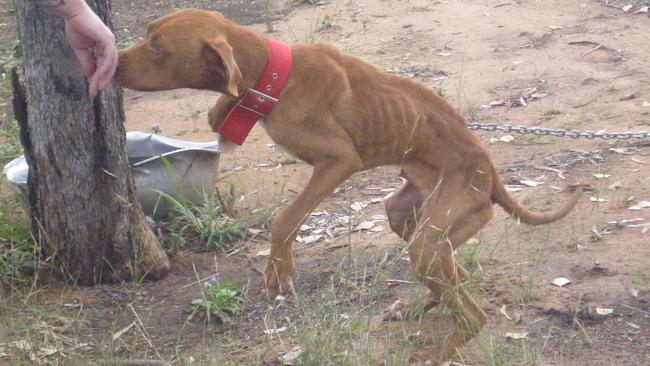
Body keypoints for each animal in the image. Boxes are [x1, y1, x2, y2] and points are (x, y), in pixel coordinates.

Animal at [115, 8, 584, 364]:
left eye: (156, 46)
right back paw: (417, 306)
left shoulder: (338, 162)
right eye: (148, 36)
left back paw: (436, 351)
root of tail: (490, 174)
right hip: (408, 215)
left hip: (433, 234)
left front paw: (278, 271)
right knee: (456, 273)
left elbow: (286, 219)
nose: (113, 62)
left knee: (471, 312)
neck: (273, 74)